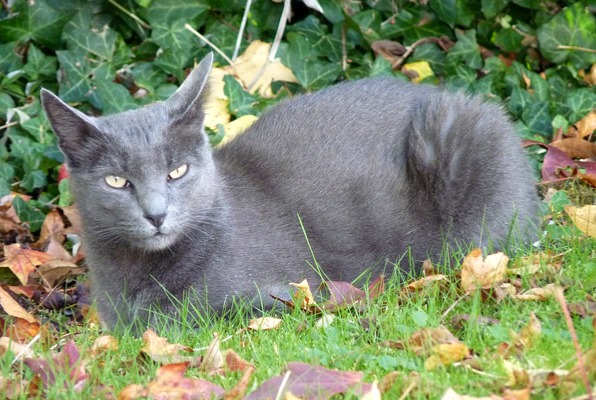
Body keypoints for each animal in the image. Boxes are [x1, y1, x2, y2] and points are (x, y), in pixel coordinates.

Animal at [39, 53, 536, 332]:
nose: (156, 214)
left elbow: (189, 319)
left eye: (177, 171)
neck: (135, 275)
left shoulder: (280, 294)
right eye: (117, 181)